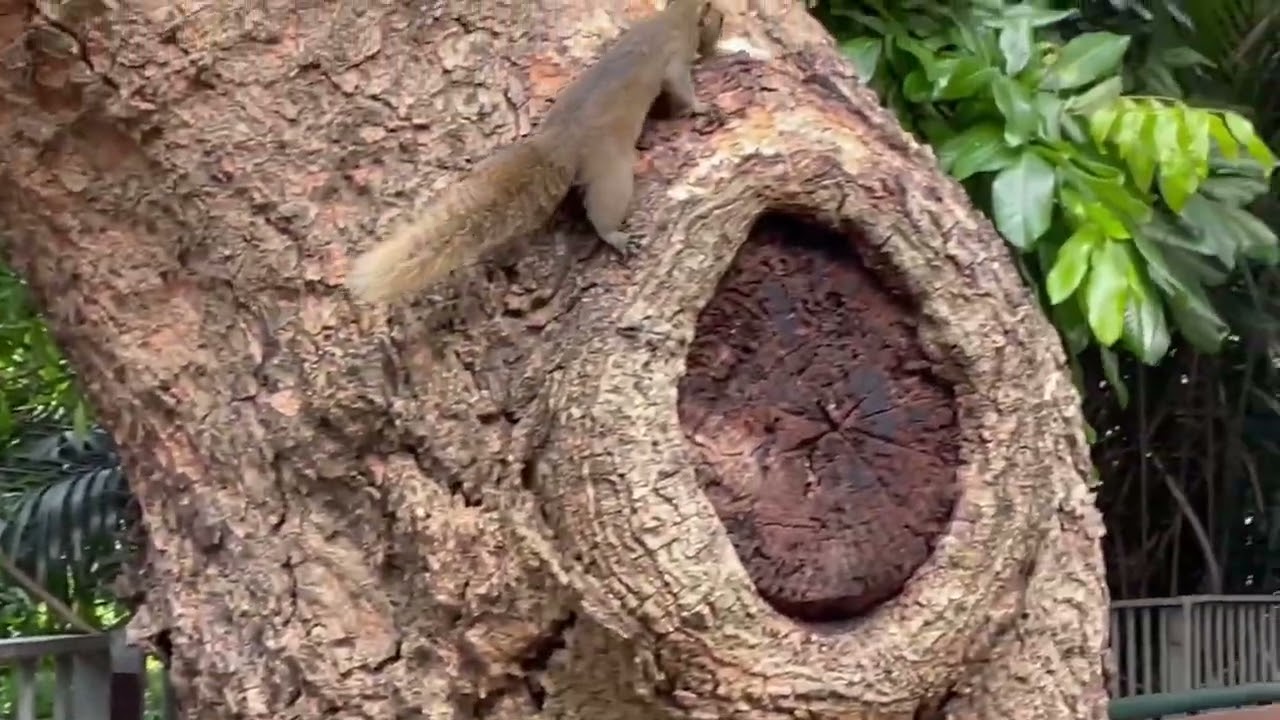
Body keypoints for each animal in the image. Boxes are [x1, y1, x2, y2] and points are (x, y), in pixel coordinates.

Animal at [346, 0, 726, 304]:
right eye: (718, 15)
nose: (721, 22)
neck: (675, 17)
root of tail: (560, 146)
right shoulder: (673, 58)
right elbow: (680, 89)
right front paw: (702, 107)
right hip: (611, 171)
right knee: (603, 209)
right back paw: (616, 236)